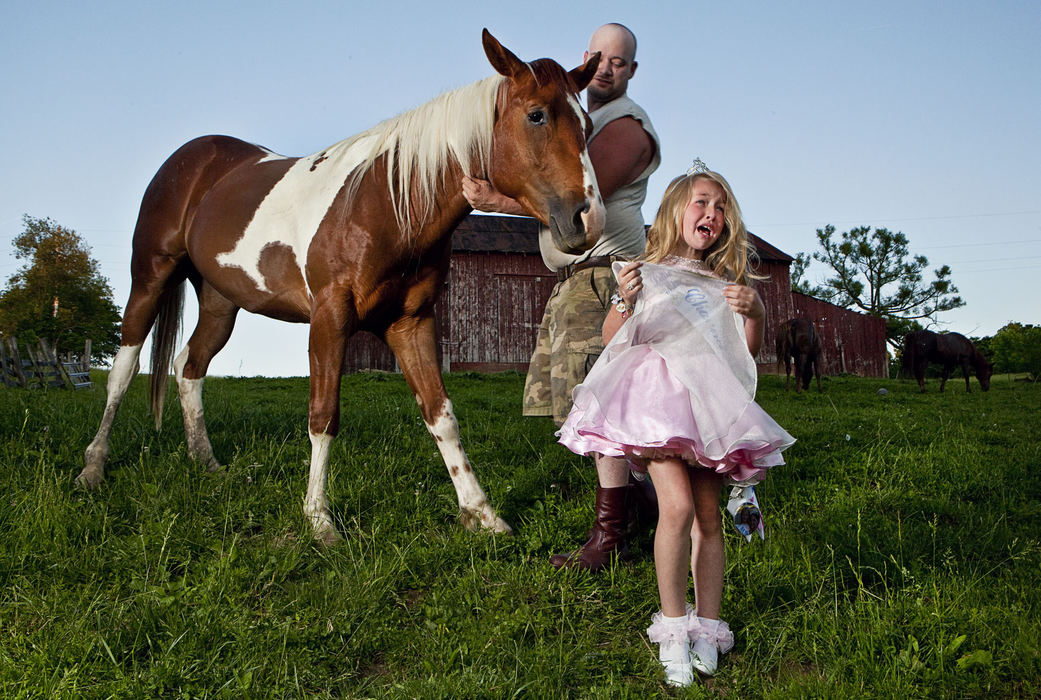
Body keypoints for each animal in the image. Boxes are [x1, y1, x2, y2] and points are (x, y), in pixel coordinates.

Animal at [77, 30, 607, 545]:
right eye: (536, 115)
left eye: (588, 125)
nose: (587, 219)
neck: (384, 202)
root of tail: (192, 157)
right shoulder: (329, 319)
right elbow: (323, 416)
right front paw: (319, 520)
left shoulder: (411, 323)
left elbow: (441, 414)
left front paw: (481, 513)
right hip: (150, 276)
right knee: (123, 369)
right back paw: (93, 467)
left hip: (220, 301)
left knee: (190, 367)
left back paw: (206, 462)